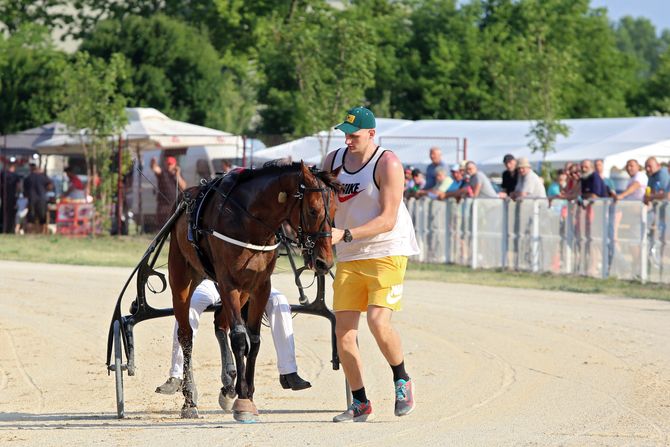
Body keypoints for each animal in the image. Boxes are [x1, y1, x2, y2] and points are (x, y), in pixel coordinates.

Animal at [168, 162, 342, 424]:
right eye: (313, 211)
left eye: (334, 209)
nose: (325, 262)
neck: (249, 219)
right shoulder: (228, 283)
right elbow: (240, 339)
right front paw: (242, 401)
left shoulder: (260, 286)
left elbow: (255, 340)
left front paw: (246, 393)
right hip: (182, 277)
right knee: (187, 335)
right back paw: (190, 400)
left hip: (242, 291)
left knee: (220, 323)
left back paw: (228, 386)